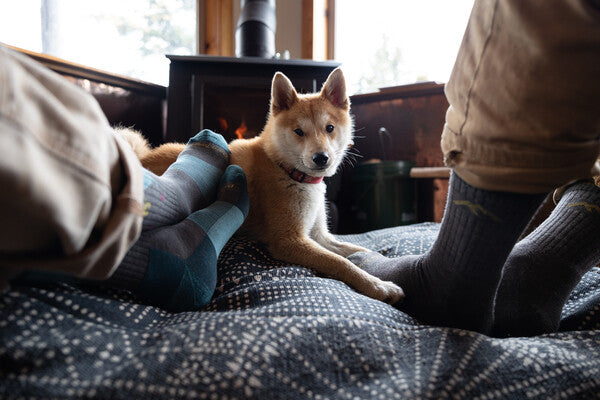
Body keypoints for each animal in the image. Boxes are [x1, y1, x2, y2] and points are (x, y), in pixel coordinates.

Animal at [125, 69, 406, 304]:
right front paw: (377, 285)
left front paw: (386, 262)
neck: (285, 169)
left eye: (329, 128)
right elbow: (340, 263)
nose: (321, 158)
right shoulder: (290, 241)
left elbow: (359, 250)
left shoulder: (319, 236)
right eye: (298, 131)